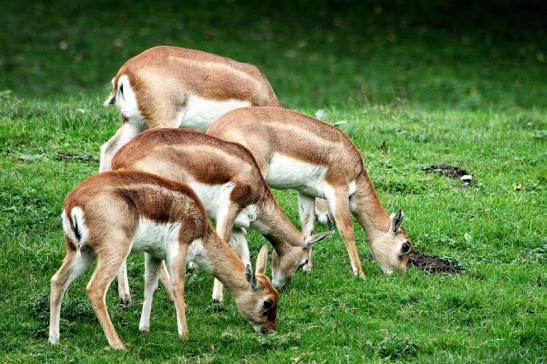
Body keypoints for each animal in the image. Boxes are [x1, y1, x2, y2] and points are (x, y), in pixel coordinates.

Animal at [49, 171, 280, 350]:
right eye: (267, 301)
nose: (270, 330)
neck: (199, 225)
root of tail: (73, 202)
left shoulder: (154, 254)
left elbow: (150, 285)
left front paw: (144, 328)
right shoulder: (178, 250)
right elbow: (178, 287)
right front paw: (184, 335)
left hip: (82, 252)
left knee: (58, 280)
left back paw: (54, 339)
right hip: (114, 251)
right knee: (95, 288)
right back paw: (118, 344)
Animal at [112, 128, 330, 298]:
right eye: (303, 262)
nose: (282, 286)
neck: (251, 174)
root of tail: (119, 158)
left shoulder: (238, 225)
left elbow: (243, 252)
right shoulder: (229, 208)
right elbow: (224, 243)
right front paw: (218, 298)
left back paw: (125, 296)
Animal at [208, 106, 414, 278]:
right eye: (405, 246)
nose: (401, 274)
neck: (355, 168)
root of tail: (215, 129)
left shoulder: (305, 192)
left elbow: (308, 227)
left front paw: (307, 267)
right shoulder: (338, 192)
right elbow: (347, 230)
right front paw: (360, 274)